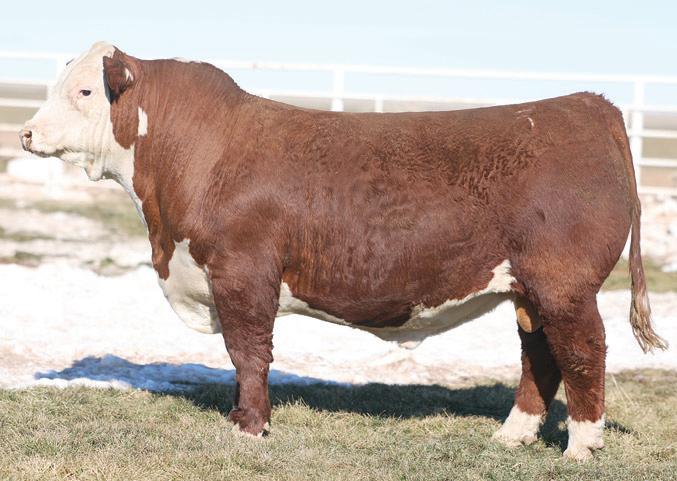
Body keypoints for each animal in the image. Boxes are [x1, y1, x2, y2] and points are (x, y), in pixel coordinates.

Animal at [20, 41, 667, 460]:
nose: (25, 133)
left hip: (564, 285)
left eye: (84, 90)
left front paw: (248, 428)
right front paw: (239, 418)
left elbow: (248, 353)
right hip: (527, 288)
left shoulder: (242, 273)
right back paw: (513, 435)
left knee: (583, 352)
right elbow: (241, 356)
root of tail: (588, 105)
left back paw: (581, 447)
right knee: (541, 356)